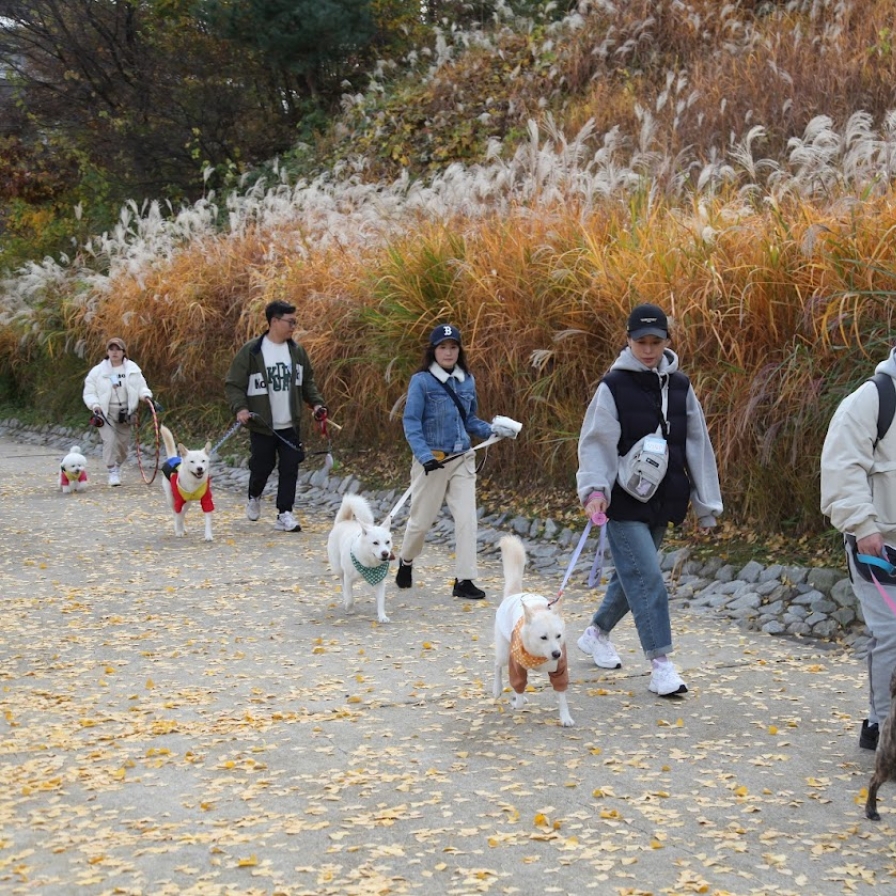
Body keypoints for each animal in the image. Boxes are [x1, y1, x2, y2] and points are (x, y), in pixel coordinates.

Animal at [324, 490, 390, 624]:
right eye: (375, 543)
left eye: (388, 542)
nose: (385, 553)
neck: (368, 563)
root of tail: (343, 521)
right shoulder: (349, 579)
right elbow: (350, 598)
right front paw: (349, 608)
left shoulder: (380, 581)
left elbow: (381, 601)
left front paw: (382, 616)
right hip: (339, 569)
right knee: (342, 583)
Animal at [490, 536, 576, 724]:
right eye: (543, 637)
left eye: (558, 636)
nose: (557, 654)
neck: (539, 655)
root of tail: (514, 595)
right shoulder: (516, 667)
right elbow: (518, 691)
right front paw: (516, 701)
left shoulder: (560, 670)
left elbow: (562, 695)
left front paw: (565, 717)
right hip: (503, 652)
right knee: (497, 665)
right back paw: (497, 689)